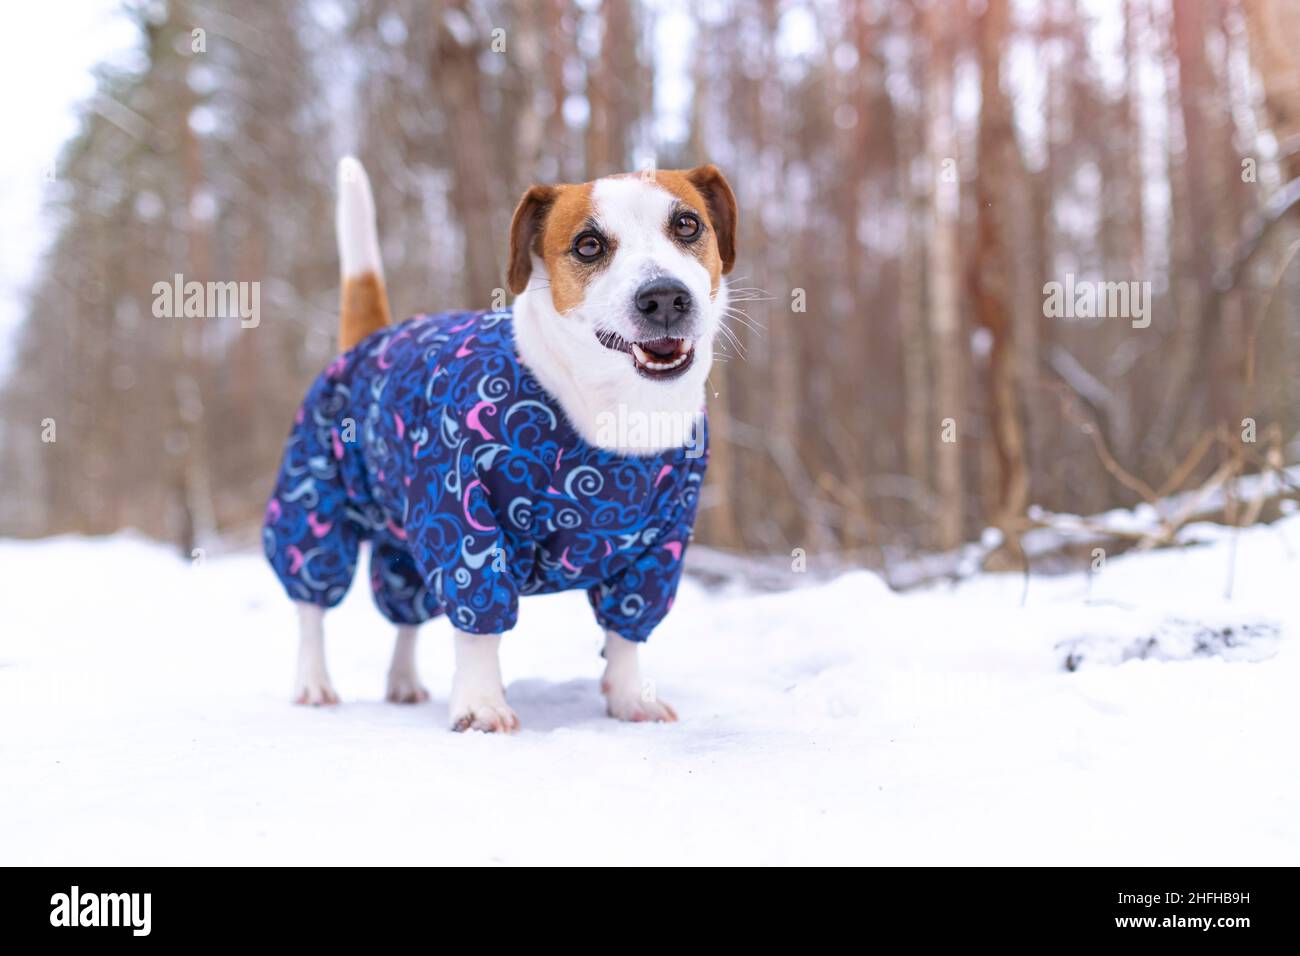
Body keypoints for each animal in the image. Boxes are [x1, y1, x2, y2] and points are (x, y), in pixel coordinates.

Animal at [263, 158, 738, 733]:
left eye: (688, 225)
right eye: (588, 245)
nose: (665, 296)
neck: (617, 412)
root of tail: (368, 341)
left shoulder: (660, 544)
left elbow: (626, 629)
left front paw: (630, 698)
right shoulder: (460, 516)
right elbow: (477, 620)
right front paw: (481, 704)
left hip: (400, 537)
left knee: (405, 611)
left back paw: (402, 681)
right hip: (316, 502)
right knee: (312, 606)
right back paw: (313, 682)